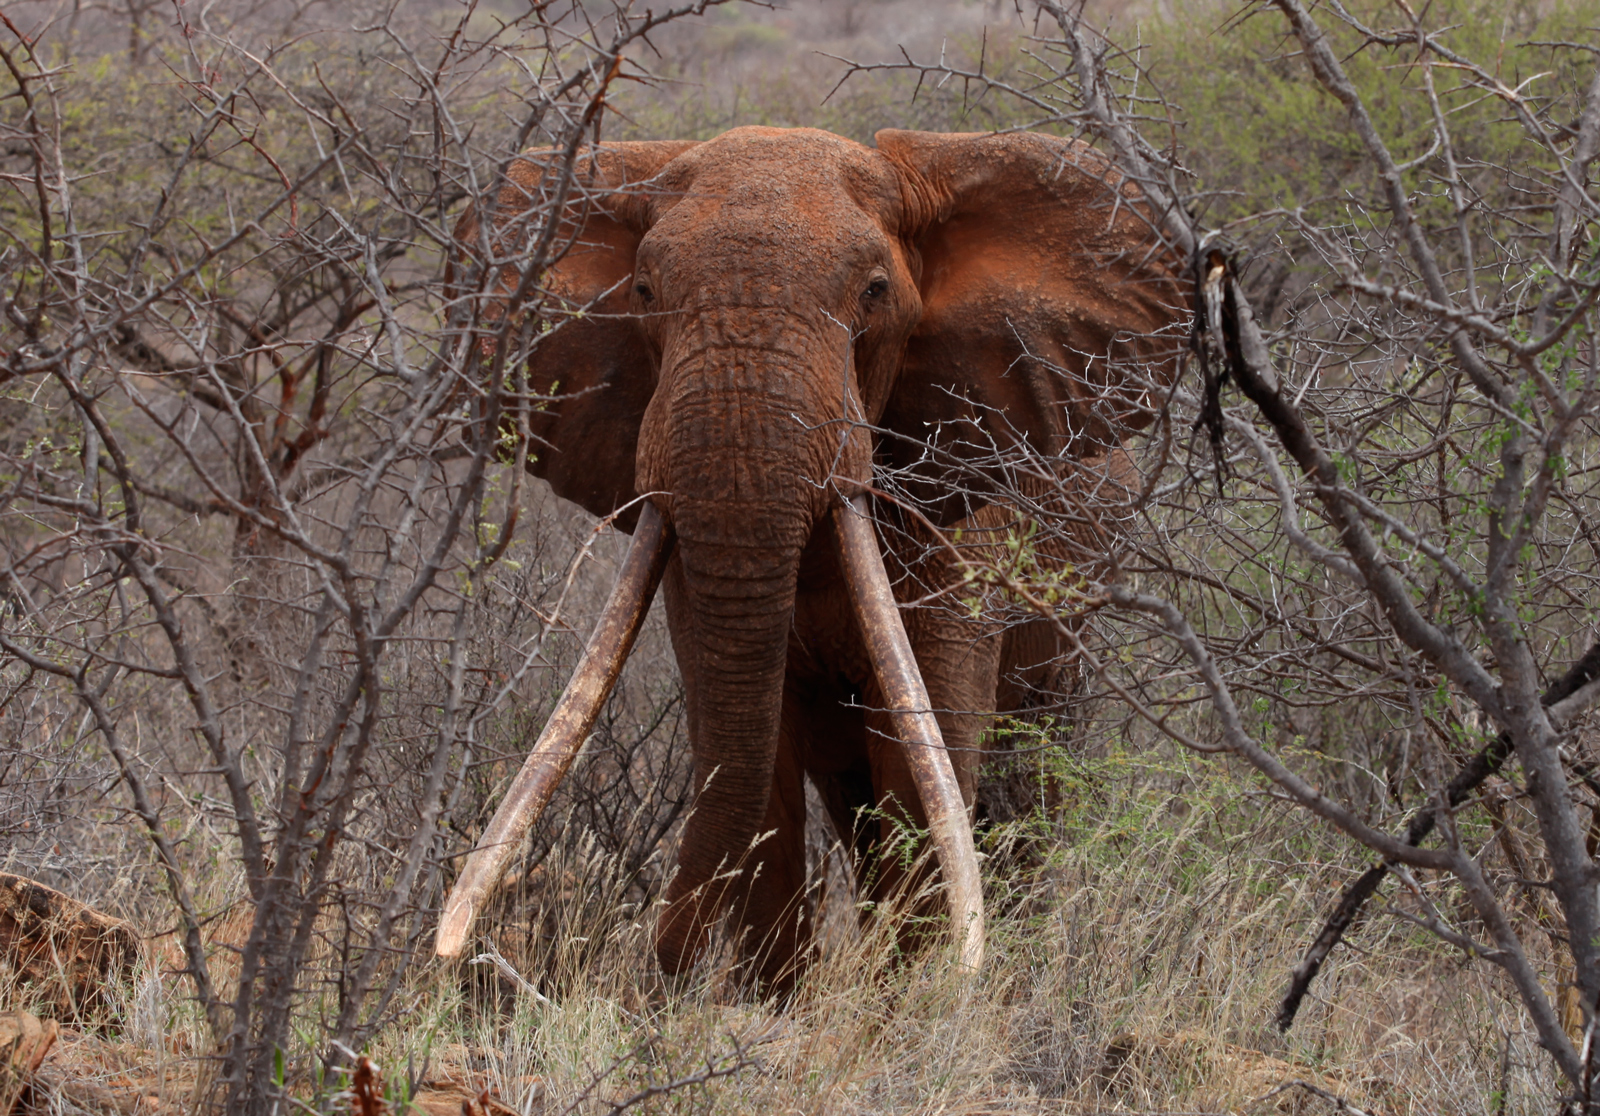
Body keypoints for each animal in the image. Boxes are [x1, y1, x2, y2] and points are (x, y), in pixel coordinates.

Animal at [438, 126, 1190, 984]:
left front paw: (922, 996)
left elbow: (923, 757)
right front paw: (776, 1003)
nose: (652, 976)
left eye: (874, 292)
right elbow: (749, 758)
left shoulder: (963, 518)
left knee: (1025, 776)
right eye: (643, 289)